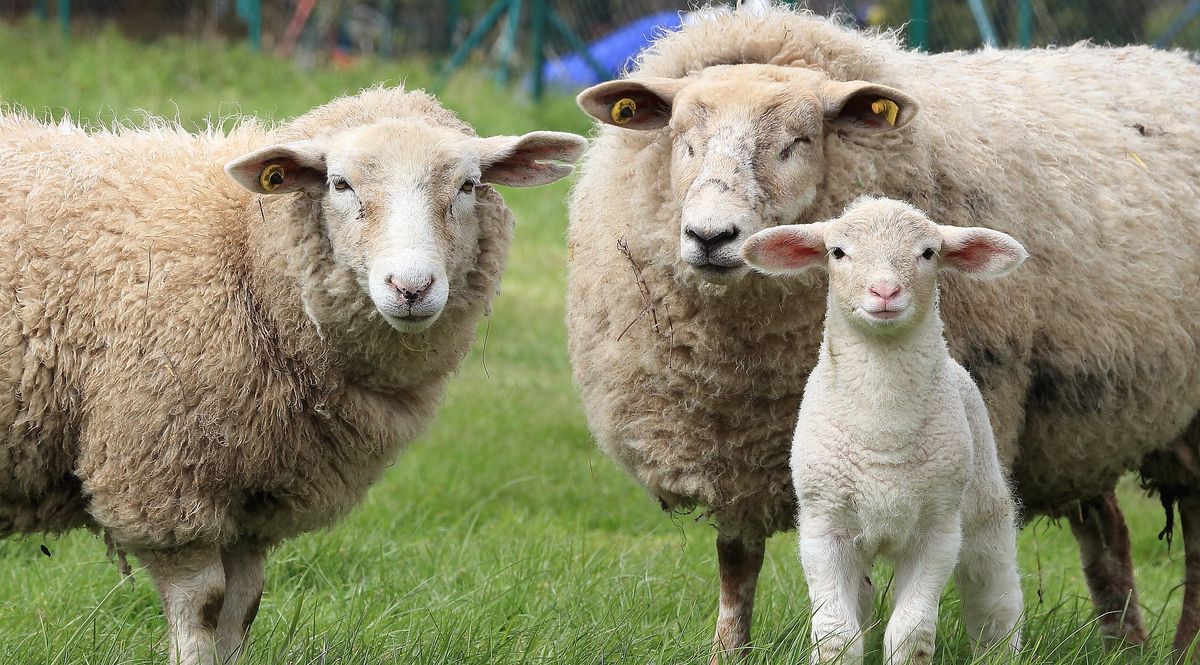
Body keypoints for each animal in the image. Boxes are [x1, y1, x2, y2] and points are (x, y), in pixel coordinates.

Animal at [0, 86, 585, 665]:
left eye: (468, 185)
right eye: (340, 183)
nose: (412, 288)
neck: (243, 248)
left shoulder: (255, 501)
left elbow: (242, 609)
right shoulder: (160, 478)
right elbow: (201, 607)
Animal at [742, 197, 1025, 664]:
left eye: (928, 252)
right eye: (837, 252)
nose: (885, 292)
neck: (883, 431)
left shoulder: (937, 531)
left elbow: (911, 635)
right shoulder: (823, 528)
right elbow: (836, 636)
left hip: (984, 504)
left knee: (995, 597)